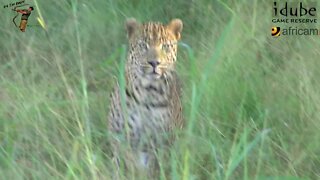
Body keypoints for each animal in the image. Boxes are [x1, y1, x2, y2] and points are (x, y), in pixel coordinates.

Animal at [107, 17, 182, 173]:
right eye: (143, 46)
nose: (154, 63)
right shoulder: (121, 135)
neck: (149, 92)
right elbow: (128, 161)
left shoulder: (163, 140)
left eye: (165, 46)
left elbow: (155, 166)